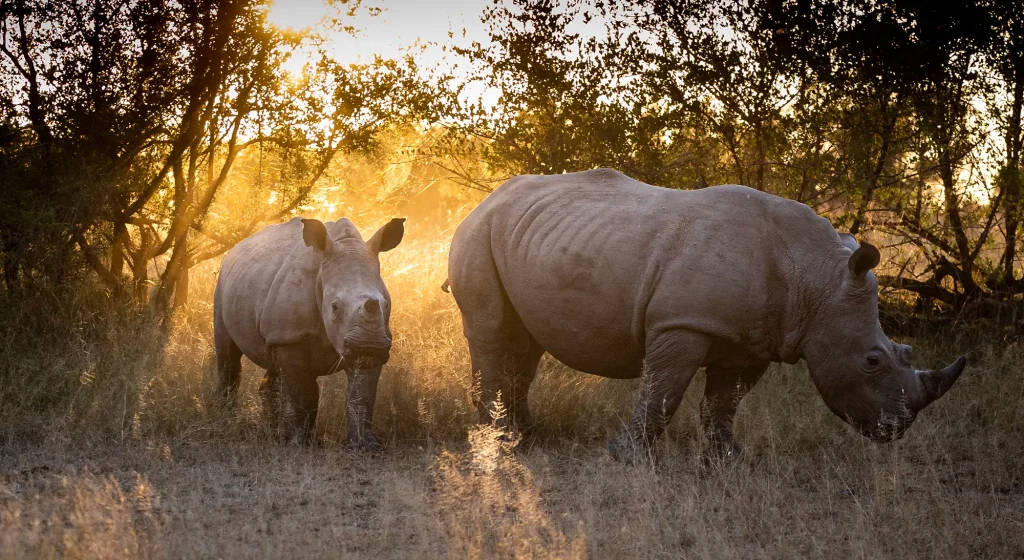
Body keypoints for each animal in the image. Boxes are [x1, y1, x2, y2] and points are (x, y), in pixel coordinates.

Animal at [214, 216, 405, 449]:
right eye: (334, 307)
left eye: (385, 305)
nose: (369, 346)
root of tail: (236, 247)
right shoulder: (291, 339)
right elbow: (304, 393)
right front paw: (300, 443)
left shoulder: (376, 340)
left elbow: (362, 395)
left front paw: (365, 447)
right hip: (222, 284)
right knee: (228, 355)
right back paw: (227, 421)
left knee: (272, 362)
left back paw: (272, 431)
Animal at [445, 169, 965, 460]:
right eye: (872, 361)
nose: (895, 430)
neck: (815, 277)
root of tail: (484, 200)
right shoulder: (682, 322)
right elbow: (663, 393)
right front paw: (625, 458)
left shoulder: (752, 339)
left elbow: (724, 403)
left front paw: (728, 460)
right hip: (476, 233)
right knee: (491, 332)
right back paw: (498, 440)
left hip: (528, 235)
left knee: (524, 342)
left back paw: (525, 437)